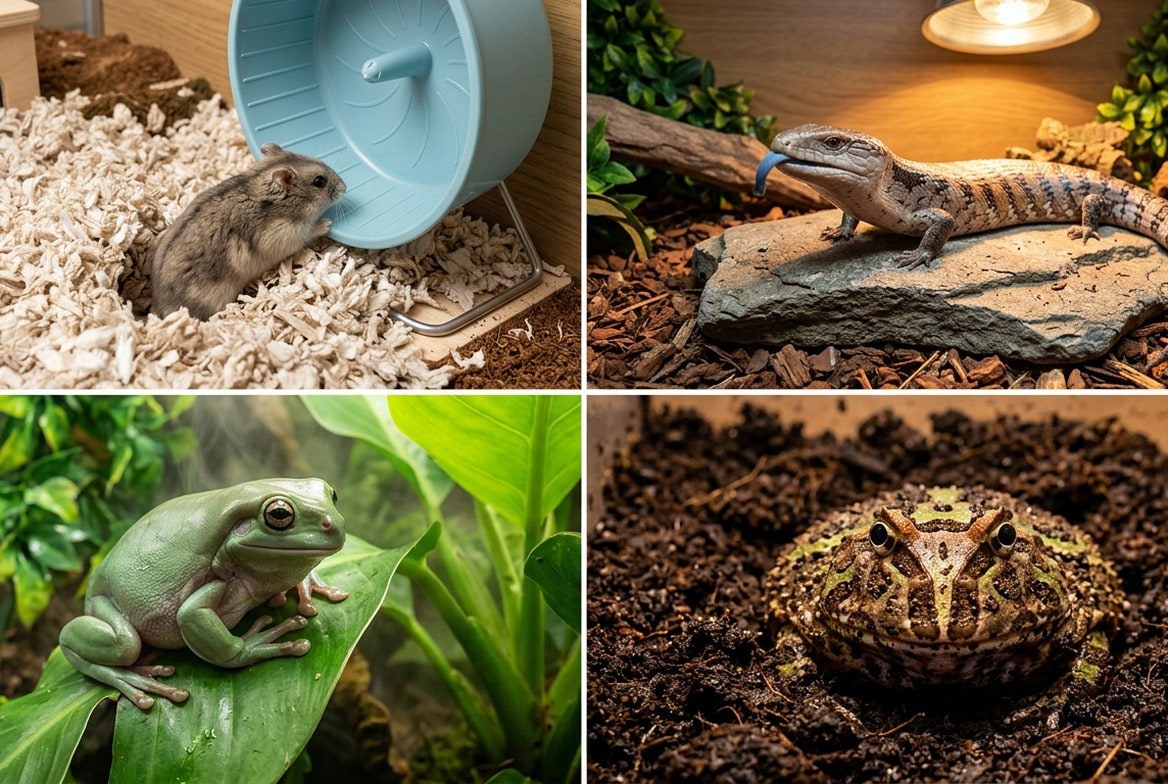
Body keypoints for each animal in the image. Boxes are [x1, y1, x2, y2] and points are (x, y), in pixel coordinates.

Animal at [150, 142, 347, 320]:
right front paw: (327, 223)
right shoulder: (285, 234)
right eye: (319, 181)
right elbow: (309, 231)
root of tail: (160, 311)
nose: (345, 187)